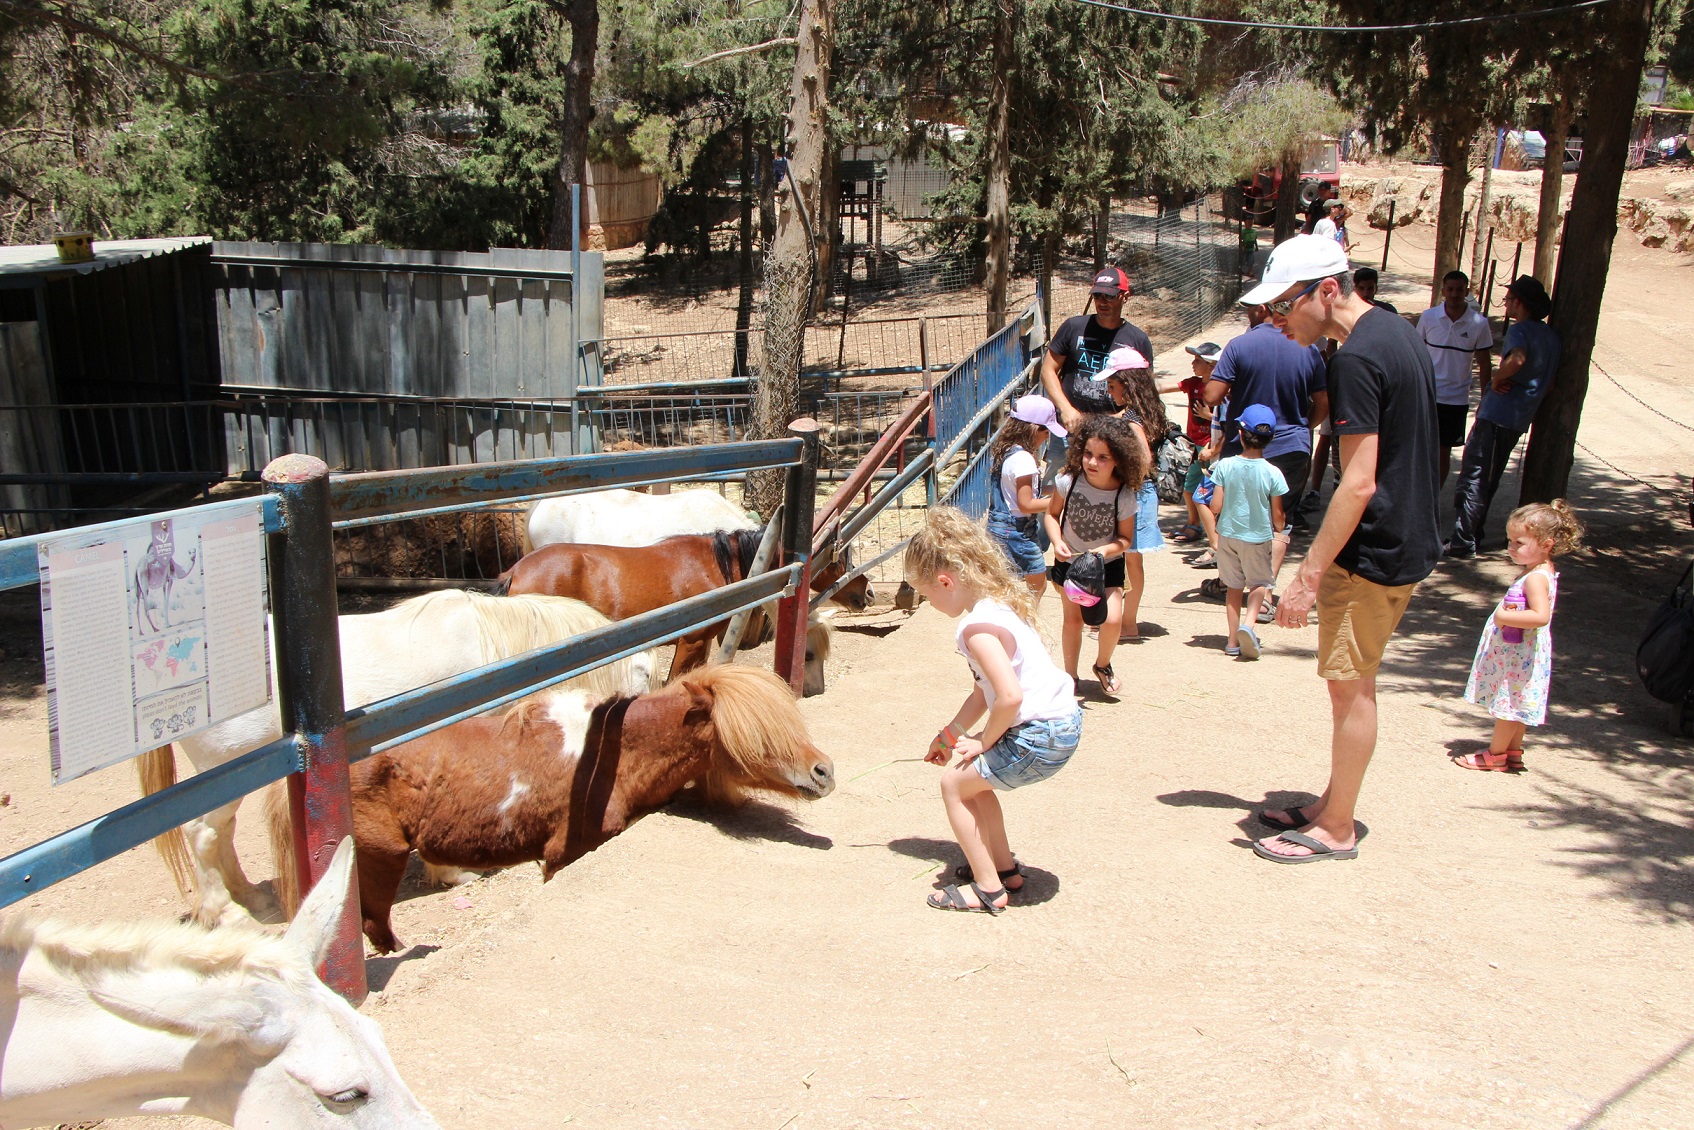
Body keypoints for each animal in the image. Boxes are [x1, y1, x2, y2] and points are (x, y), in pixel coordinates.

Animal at [140, 582, 653, 928]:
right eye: (646, 677)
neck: (498, 658)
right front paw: (451, 871)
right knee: (202, 834)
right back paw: (227, 912)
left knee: (219, 834)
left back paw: (250, 897)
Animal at [277, 667, 833, 948]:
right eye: (755, 736)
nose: (824, 772)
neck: (611, 752)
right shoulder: (565, 853)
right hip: (380, 857)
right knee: (374, 921)